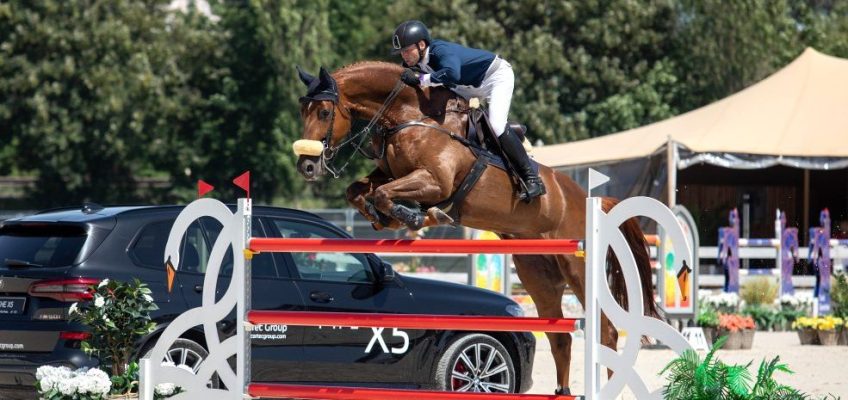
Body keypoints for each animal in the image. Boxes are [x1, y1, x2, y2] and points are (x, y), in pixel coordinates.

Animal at [294, 61, 660, 394]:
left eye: (324, 112)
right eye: (303, 111)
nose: (307, 166)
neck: (410, 115)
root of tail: (589, 200)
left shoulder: (435, 181)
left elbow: (386, 194)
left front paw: (415, 216)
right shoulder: (390, 174)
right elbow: (359, 191)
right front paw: (392, 216)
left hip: (578, 267)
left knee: (606, 332)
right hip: (538, 275)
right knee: (559, 337)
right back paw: (563, 392)